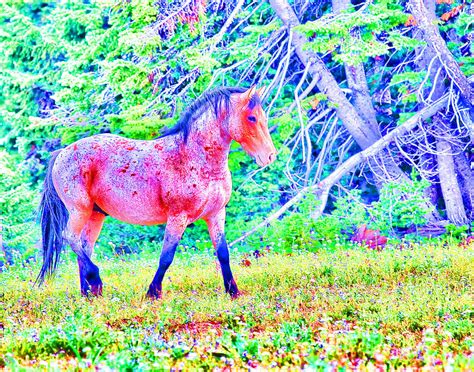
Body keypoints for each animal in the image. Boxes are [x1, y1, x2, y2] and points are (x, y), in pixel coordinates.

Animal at [38, 87, 278, 300]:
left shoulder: (216, 214)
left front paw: (233, 291)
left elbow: (223, 254)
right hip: (79, 210)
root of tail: (62, 153)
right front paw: (153, 292)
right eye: (251, 118)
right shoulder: (178, 217)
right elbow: (166, 257)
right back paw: (95, 280)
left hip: (95, 215)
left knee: (84, 246)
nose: (269, 156)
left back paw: (88, 293)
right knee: (70, 237)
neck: (194, 158)